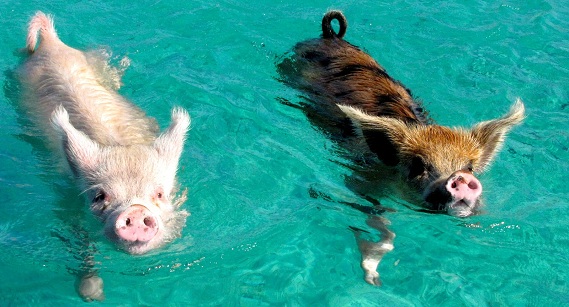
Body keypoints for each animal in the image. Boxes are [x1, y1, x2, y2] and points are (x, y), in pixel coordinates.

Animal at [18, 11, 191, 300]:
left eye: (159, 194)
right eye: (99, 196)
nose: (135, 211)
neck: (121, 147)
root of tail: (52, 44)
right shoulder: (69, 207)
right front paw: (93, 294)